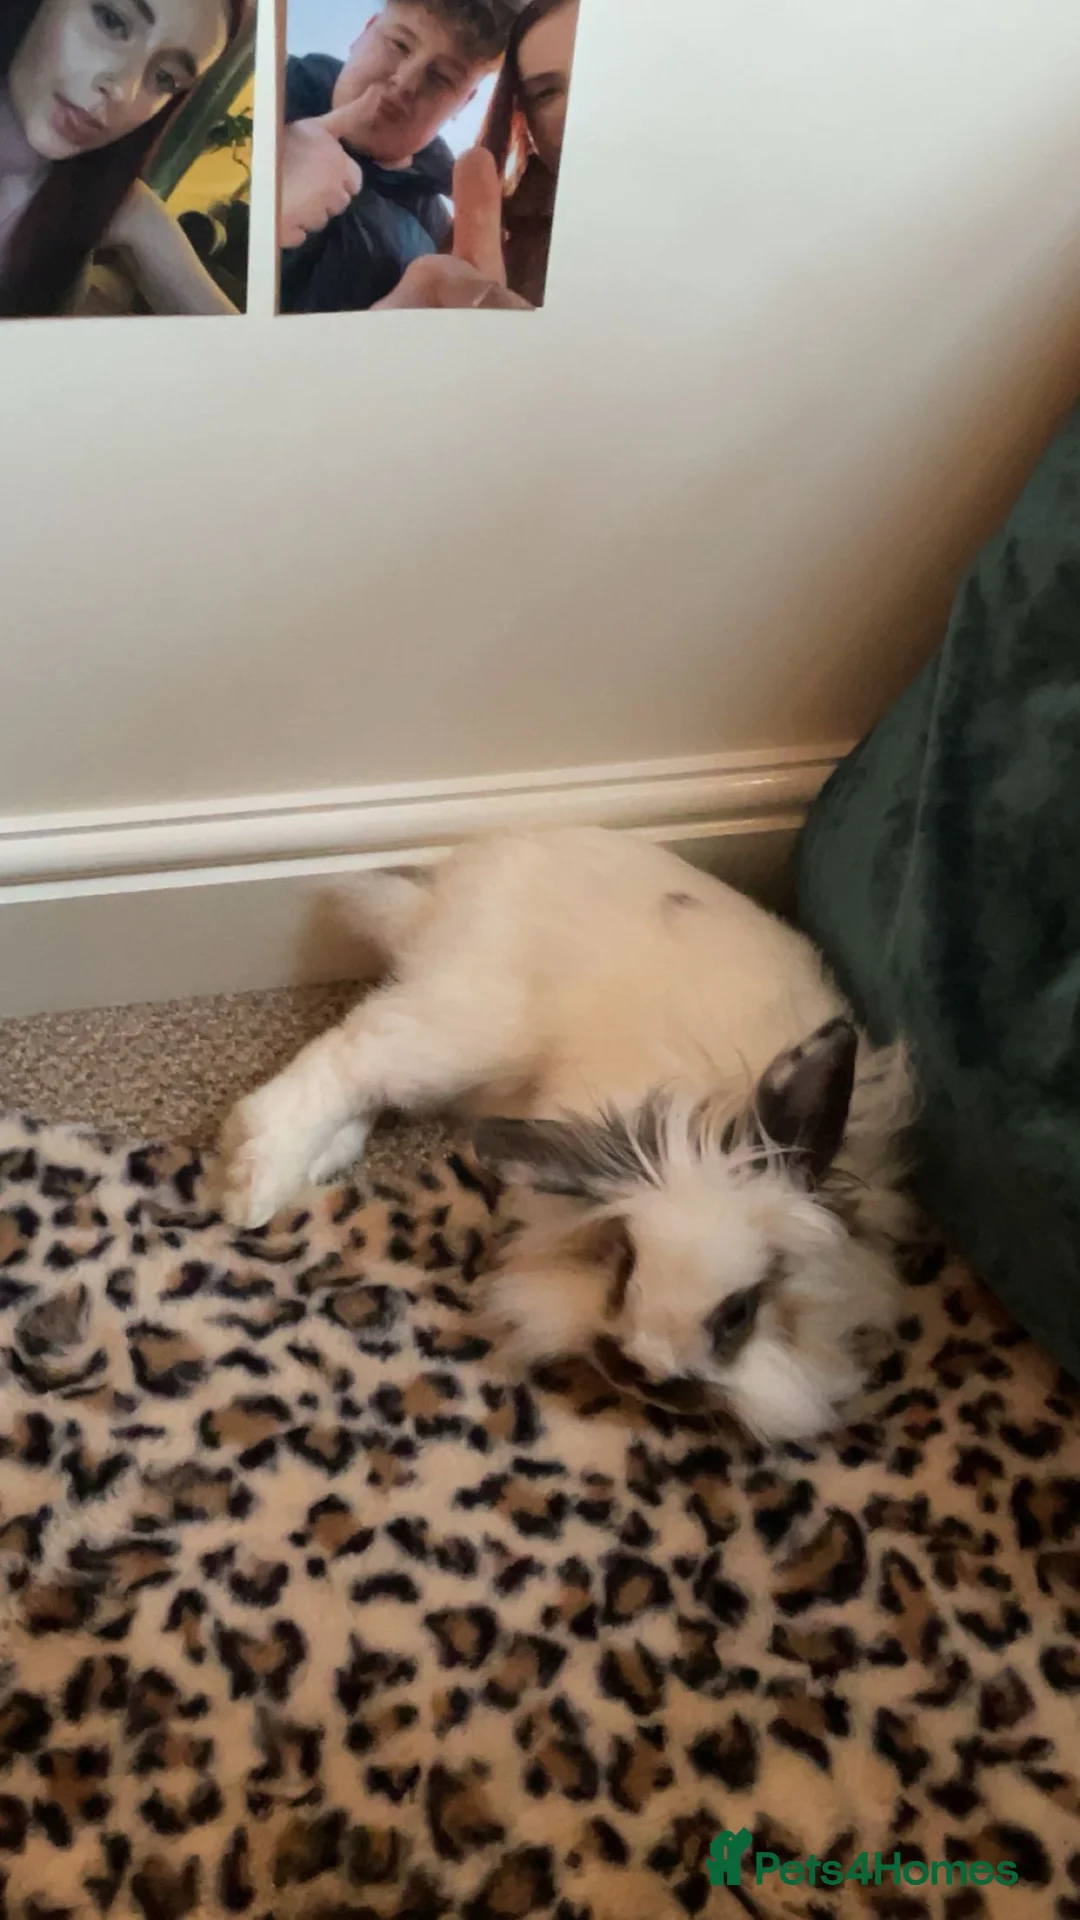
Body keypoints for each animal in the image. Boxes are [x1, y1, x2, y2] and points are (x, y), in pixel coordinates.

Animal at [218, 827, 918, 1442]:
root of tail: (443, 894)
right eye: (626, 1264)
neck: (699, 1123)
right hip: (466, 1033)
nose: (646, 1375)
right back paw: (254, 1183)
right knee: (349, 1053)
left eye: (740, 1311)